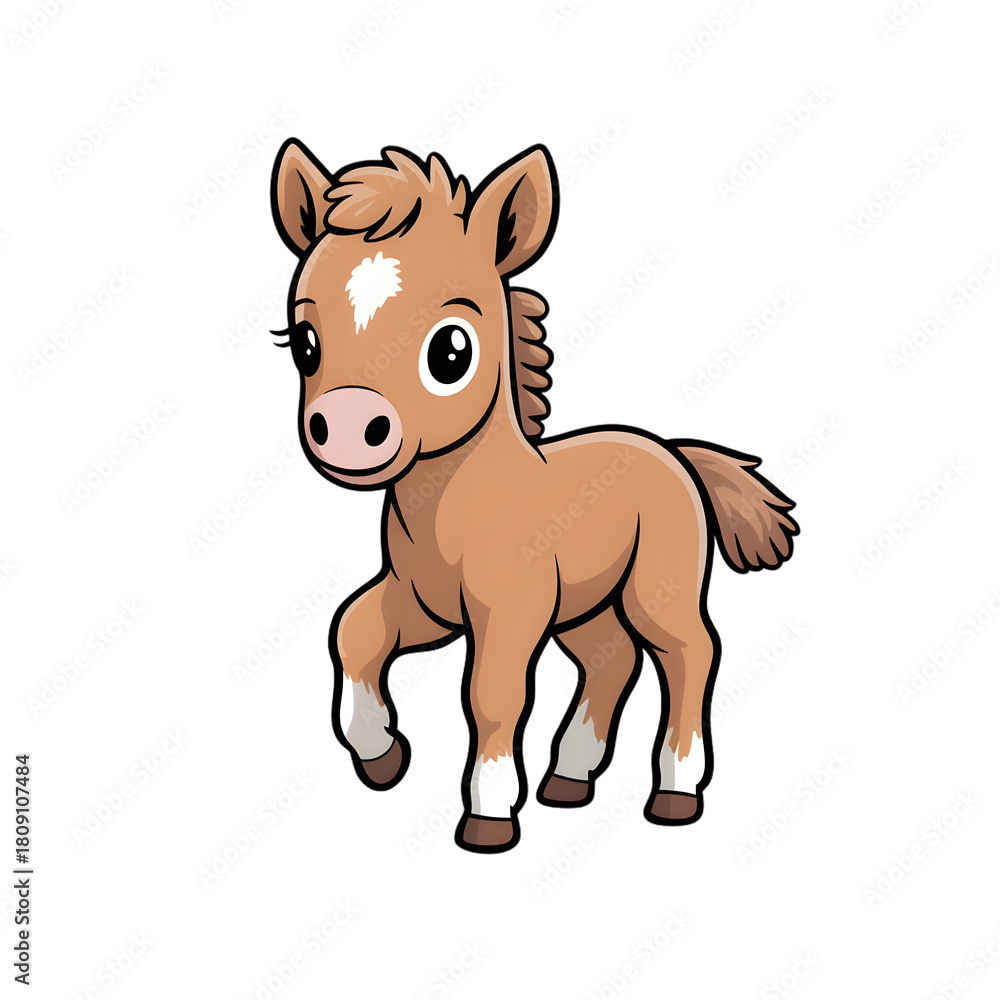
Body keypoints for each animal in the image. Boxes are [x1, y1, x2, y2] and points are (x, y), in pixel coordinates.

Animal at [269, 139, 799, 852]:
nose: (349, 430)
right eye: (304, 343)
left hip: (658, 589)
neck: (454, 511)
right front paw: (382, 755)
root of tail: (667, 449)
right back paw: (569, 779)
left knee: (690, 651)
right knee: (612, 661)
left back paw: (675, 792)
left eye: (451, 350)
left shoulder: (510, 611)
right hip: (585, 607)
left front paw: (489, 816)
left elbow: (492, 695)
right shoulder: (426, 605)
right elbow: (354, 632)